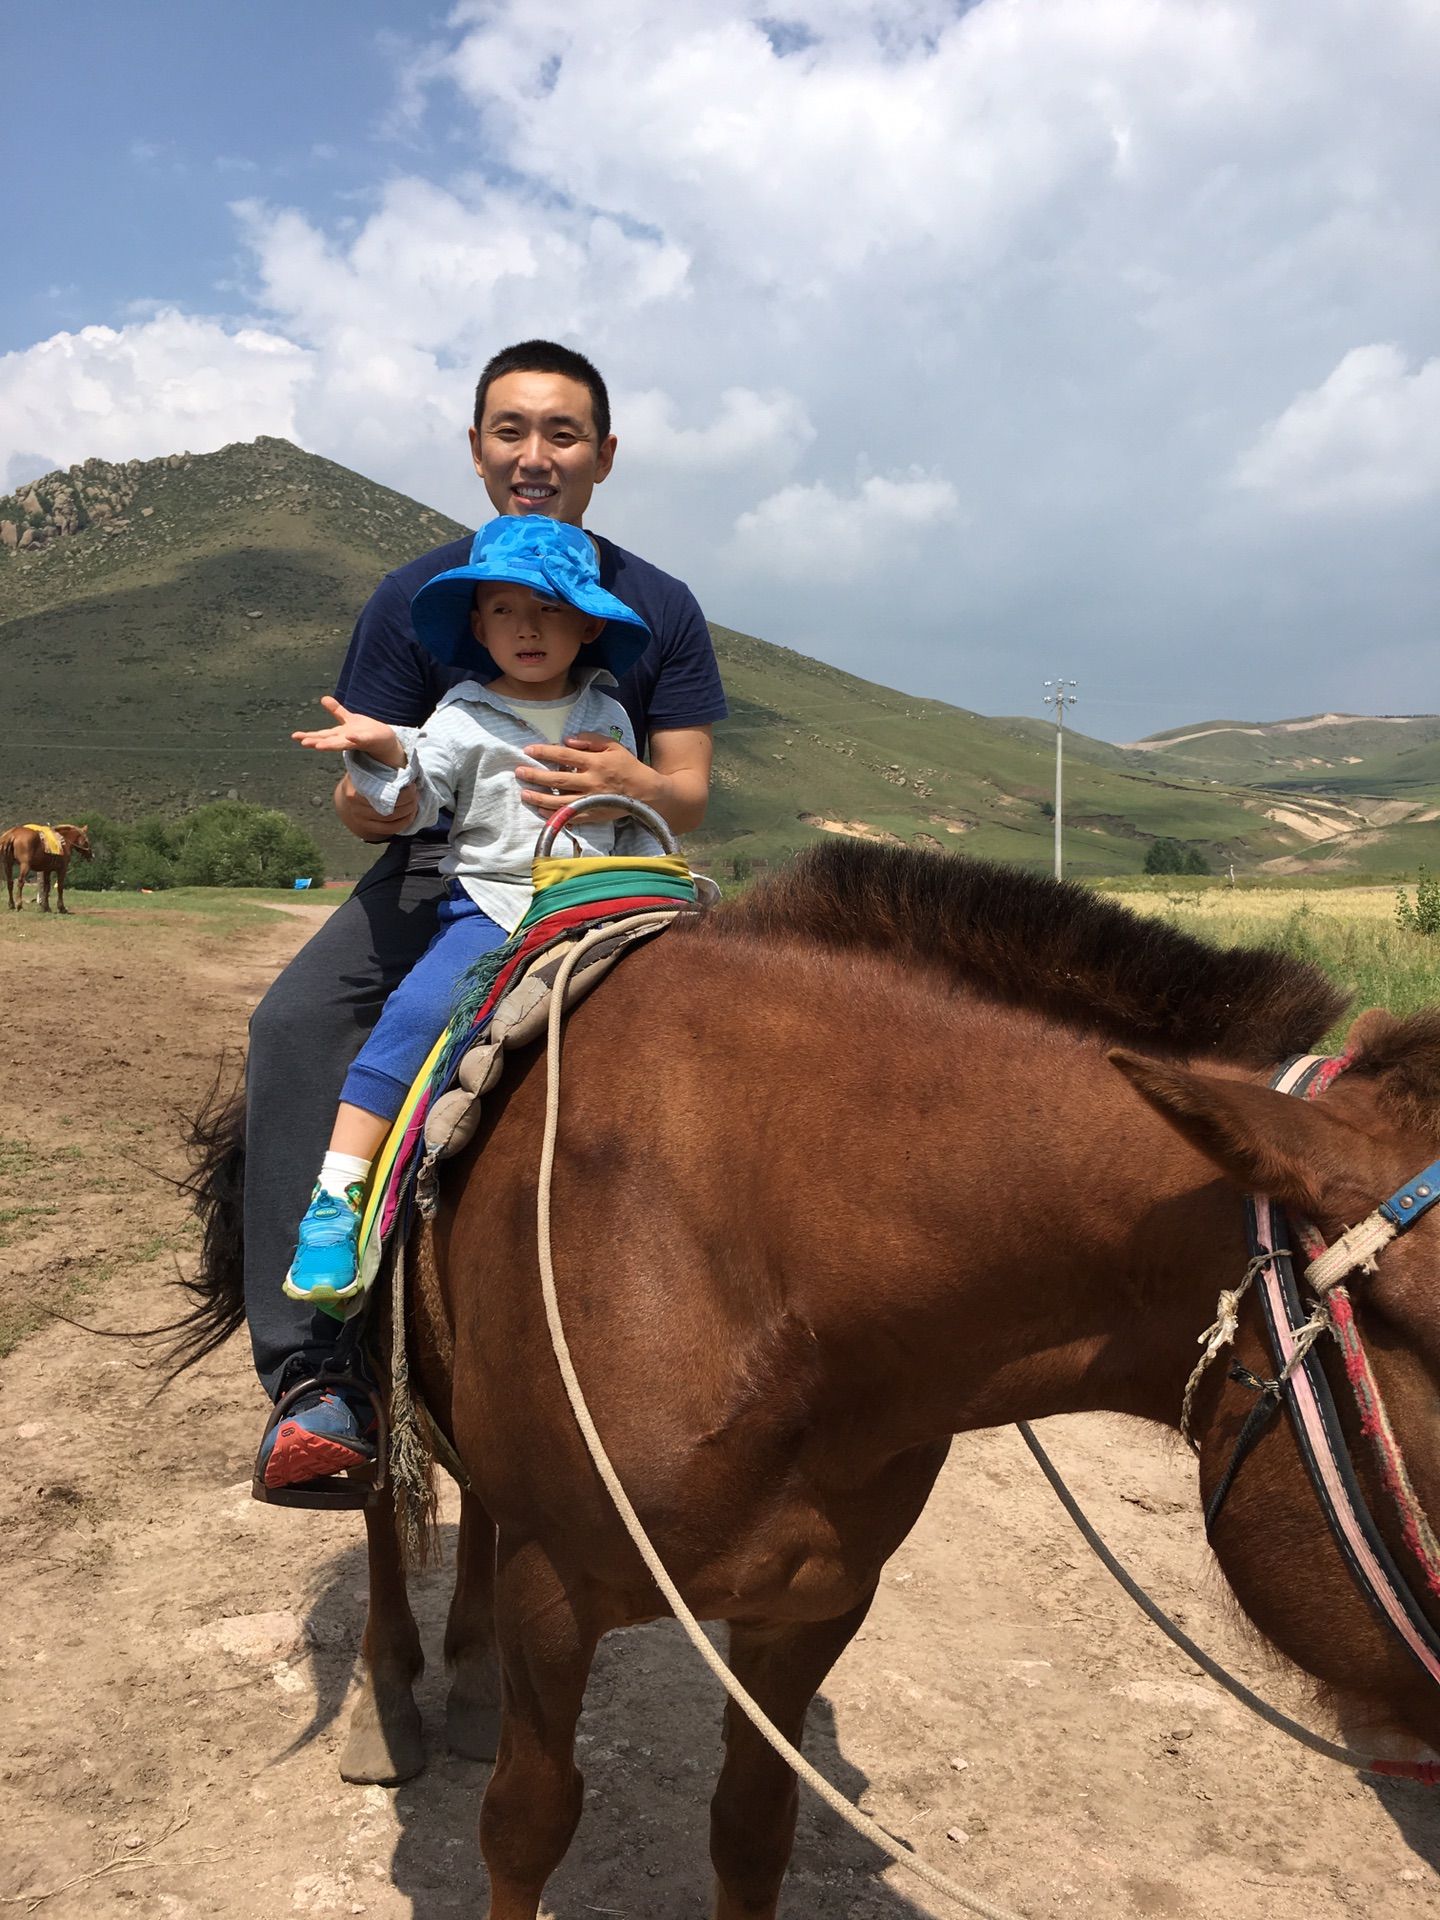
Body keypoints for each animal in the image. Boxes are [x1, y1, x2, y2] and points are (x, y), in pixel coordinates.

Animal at [177, 852, 1440, 1920]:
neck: (752, 1243)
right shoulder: (558, 1591)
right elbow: (527, 1827)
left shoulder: (812, 1604)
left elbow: (753, 1827)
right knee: (381, 1503)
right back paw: (387, 1704)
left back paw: (474, 1684)